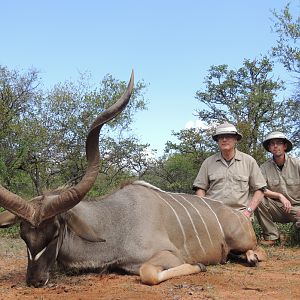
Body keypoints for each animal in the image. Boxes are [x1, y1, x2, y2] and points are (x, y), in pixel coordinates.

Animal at [1, 71, 266, 288]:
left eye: (55, 233)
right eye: (24, 235)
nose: (34, 280)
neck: (113, 223)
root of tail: (241, 216)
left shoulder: (169, 255)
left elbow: (148, 273)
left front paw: (199, 265)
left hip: (242, 241)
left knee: (257, 251)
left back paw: (251, 257)